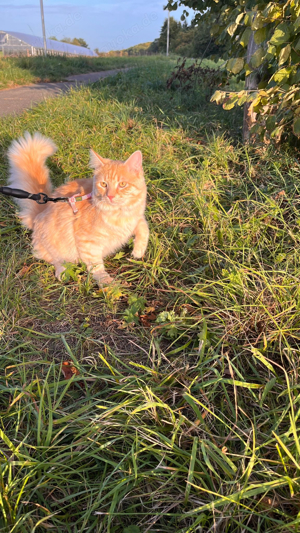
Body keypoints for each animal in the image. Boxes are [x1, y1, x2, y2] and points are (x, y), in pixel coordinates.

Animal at [8, 132, 149, 282]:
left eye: (122, 184)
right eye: (103, 184)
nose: (110, 196)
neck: (120, 213)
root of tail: (39, 213)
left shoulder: (137, 217)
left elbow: (144, 228)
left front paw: (138, 251)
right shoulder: (87, 242)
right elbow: (96, 266)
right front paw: (107, 283)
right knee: (53, 259)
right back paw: (62, 272)